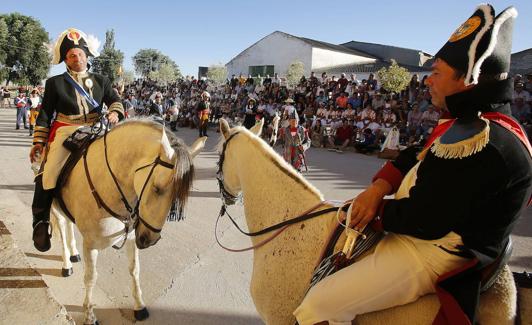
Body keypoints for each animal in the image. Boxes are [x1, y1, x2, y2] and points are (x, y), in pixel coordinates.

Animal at [46, 120, 204, 324]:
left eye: (177, 197)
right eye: (157, 188)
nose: (150, 240)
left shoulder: (131, 237)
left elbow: (134, 269)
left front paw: (139, 305)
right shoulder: (90, 244)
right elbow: (90, 277)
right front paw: (89, 315)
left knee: (69, 224)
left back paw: (73, 253)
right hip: (54, 205)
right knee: (62, 226)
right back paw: (67, 263)